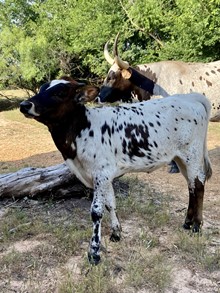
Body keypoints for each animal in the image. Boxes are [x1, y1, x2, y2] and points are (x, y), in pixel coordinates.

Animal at [19, 78, 212, 264]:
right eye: (41, 89)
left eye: (59, 92)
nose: (24, 105)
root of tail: (190, 97)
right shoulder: (105, 176)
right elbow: (110, 203)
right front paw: (116, 233)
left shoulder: (100, 174)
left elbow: (96, 211)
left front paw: (94, 252)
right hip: (180, 158)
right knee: (191, 186)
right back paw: (187, 222)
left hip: (192, 154)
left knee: (198, 185)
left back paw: (196, 226)